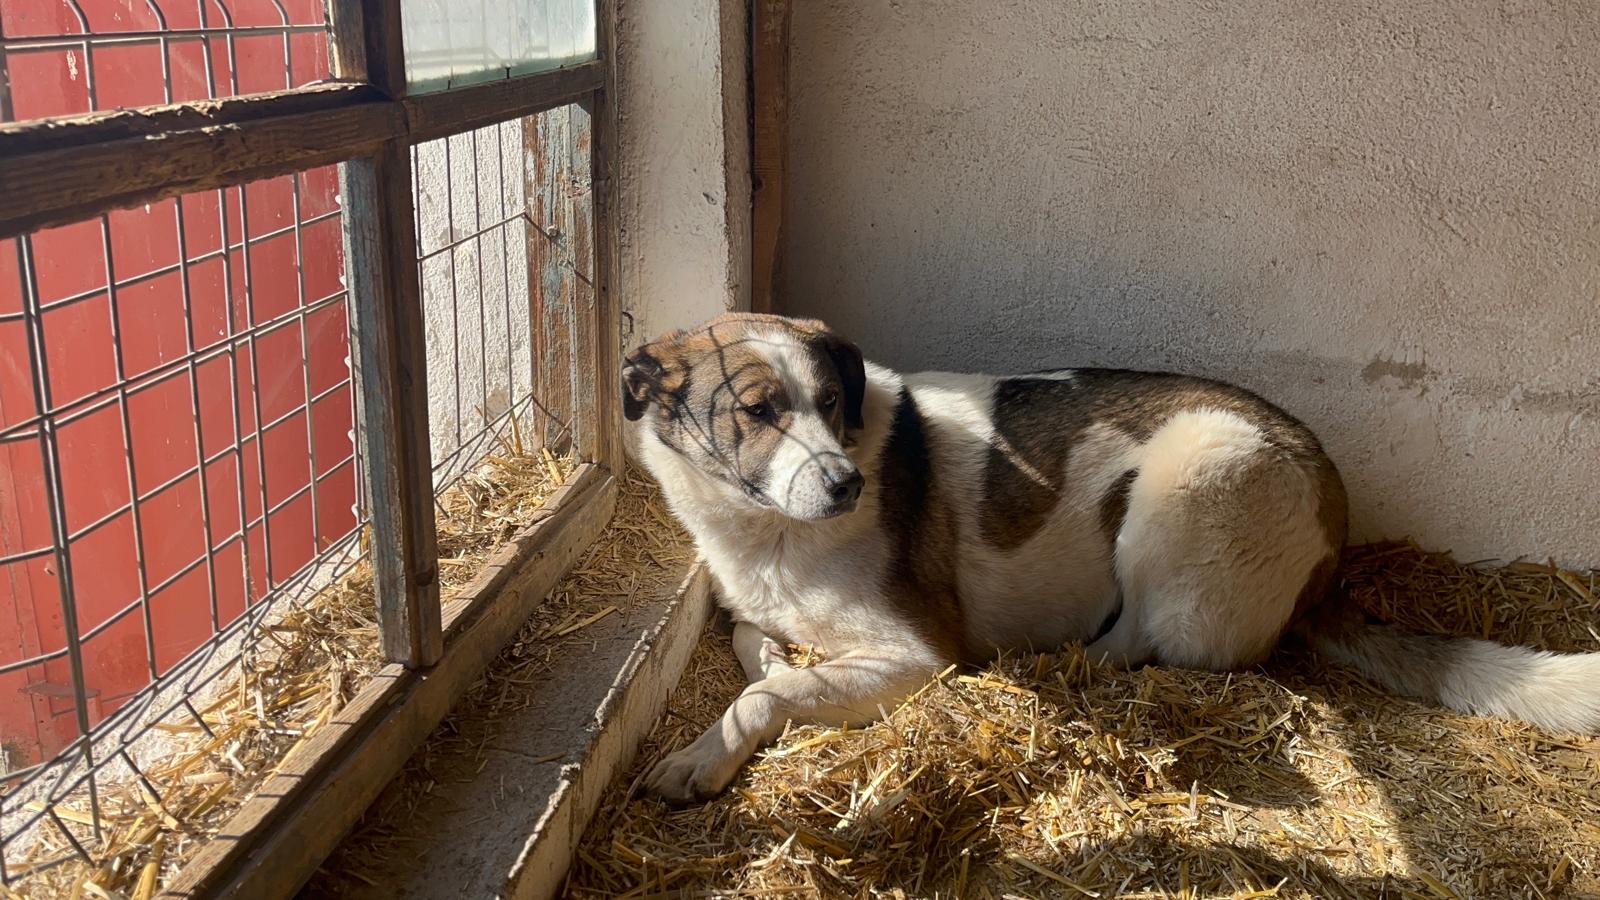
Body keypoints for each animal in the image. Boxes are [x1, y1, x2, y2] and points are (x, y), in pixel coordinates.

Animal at [621, 312, 1600, 803]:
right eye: (756, 412)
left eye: (832, 404)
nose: (844, 486)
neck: (762, 529)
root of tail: (1331, 504)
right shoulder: (757, 610)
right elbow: (758, 649)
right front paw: (776, 667)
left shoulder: (918, 650)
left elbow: (763, 693)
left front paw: (700, 759)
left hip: (1188, 478)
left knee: (1141, 645)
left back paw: (1060, 662)